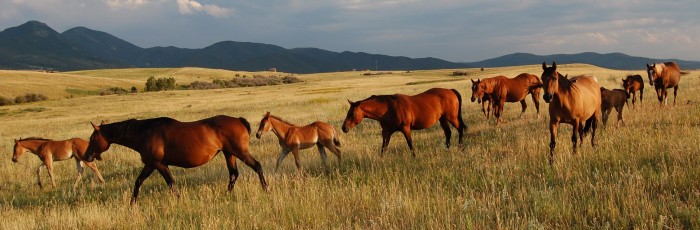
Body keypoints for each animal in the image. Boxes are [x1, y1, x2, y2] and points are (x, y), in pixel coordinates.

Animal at [82, 115, 268, 205]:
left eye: (92, 138)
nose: (86, 156)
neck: (145, 133)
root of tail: (239, 120)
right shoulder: (150, 165)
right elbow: (138, 182)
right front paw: (132, 204)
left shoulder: (159, 164)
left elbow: (171, 184)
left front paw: (179, 201)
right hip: (229, 153)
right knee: (233, 174)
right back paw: (226, 195)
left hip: (239, 152)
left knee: (257, 166)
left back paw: (265, 189)